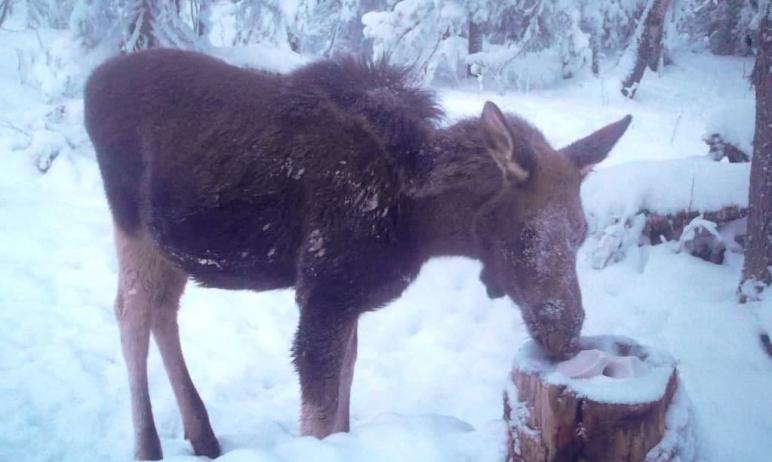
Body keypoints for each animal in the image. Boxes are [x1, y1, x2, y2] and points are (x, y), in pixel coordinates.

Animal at [84, 48, 632, 460]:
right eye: (525, 232)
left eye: (582, 233)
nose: (566, 333)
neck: (420, 223)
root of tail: (92, 83)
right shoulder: (323, 294)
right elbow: (319, 418)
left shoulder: (349, 298)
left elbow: (344, 402)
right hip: (130, 225)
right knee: (130, 311)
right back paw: (148, 446)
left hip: (167, 243)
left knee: (163, 311)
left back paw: (202, 434)